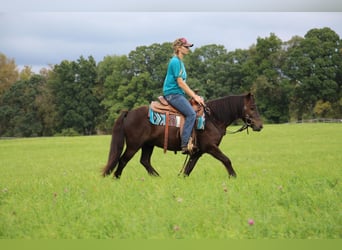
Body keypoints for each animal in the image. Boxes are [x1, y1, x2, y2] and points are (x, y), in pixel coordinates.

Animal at [101, 93, 262, 179]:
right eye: (252, 108)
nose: (260, 125)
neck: (212, 119)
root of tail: (129, 113)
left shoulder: (197, 152)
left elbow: (188, 169)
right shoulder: (211, 147)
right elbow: (226, 160)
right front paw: (234, 177)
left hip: (148, 145)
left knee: (145, 161)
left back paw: (158, 178)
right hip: (134, 145)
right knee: (122, 160)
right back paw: (116, 179)